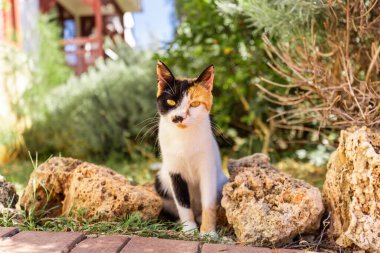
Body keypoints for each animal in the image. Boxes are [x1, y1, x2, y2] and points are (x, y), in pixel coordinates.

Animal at [153, 60, 227, 236]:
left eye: (194, 104)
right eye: (171, 102)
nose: (179, 117)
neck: (183, 138)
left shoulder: (208, 169)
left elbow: (209, 202)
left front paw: (208, 233)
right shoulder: (174, 172)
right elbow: (182, 203)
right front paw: (189, 229)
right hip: (160, 180)